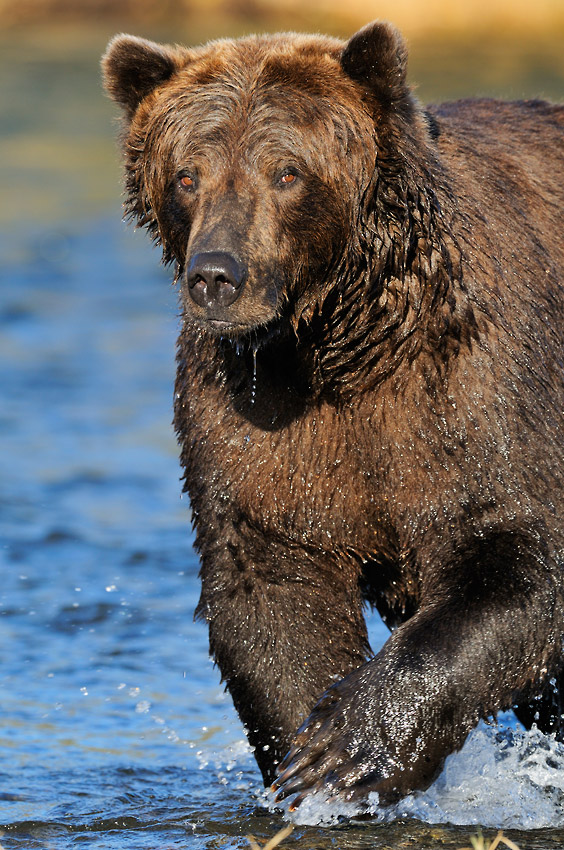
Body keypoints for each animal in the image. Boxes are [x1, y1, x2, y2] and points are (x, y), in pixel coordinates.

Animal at [103, 23, 564, 808]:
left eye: (287, 172)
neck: (343, 343)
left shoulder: (479, 391)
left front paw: (349, 748)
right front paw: (308, 768)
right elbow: (272, 590)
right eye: (187, 175)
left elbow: (517, 557)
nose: (216, 276)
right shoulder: (259, 419)